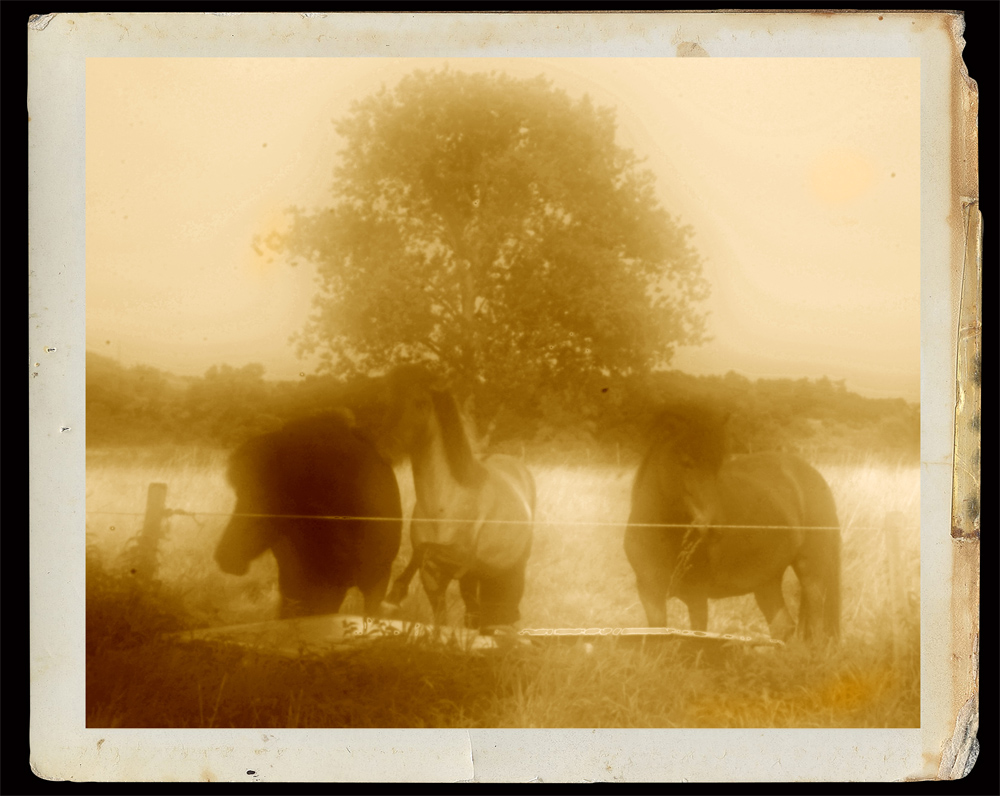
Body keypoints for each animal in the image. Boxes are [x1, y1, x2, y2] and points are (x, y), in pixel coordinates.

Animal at [380, 366, 540, 636]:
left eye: (420, 402)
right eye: (387, 396)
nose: (383, 445)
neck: (444, 502)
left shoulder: (462, 559)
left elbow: (426, 550)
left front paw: (393, 597)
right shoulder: (435, 574)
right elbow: (439, 616)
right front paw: (394, 597)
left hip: (509, 567)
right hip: (474, 578)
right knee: (474, 613)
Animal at [628, 404, 840, 640]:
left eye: (717, 464)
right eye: (685, 462)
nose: (714, 528)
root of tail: (812, 475)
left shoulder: (696, 597)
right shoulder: (649, 593)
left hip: (812, 571)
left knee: (817, 626)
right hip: (767, 579)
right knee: (782, 627)